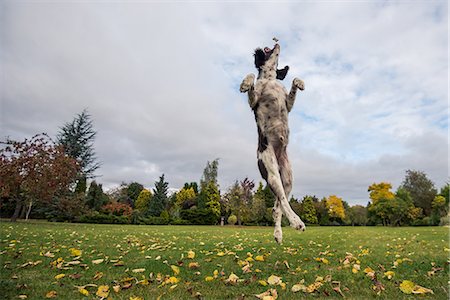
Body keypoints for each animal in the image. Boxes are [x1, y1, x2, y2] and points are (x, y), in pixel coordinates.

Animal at [239, 42, 306, 244]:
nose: (276, 43)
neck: (270, 79)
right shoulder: (254, 101)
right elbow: (252, 78)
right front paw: (245, 83)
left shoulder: (288, 103)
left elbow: (293, 86)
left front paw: (299, 82)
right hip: (271, 172)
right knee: (282, 200)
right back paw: (296, 222)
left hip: (287, 177)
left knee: (278, 206)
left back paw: (279, 233)